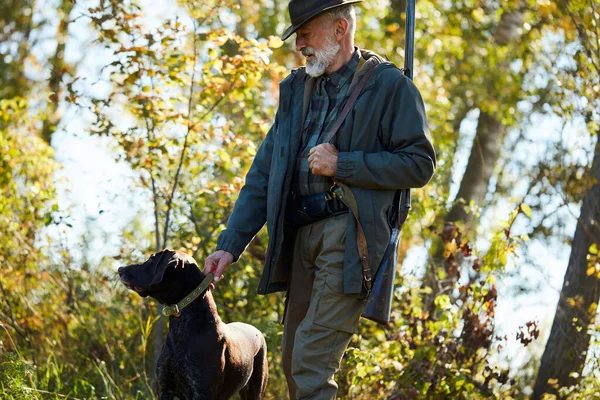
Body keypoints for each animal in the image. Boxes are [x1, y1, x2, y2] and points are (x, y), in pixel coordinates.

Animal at [118, 248, 268, 398]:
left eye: (151, 259)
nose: (120, 269)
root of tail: (257, 331)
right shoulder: (165, 389)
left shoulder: (202, 392)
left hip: (255, 389)